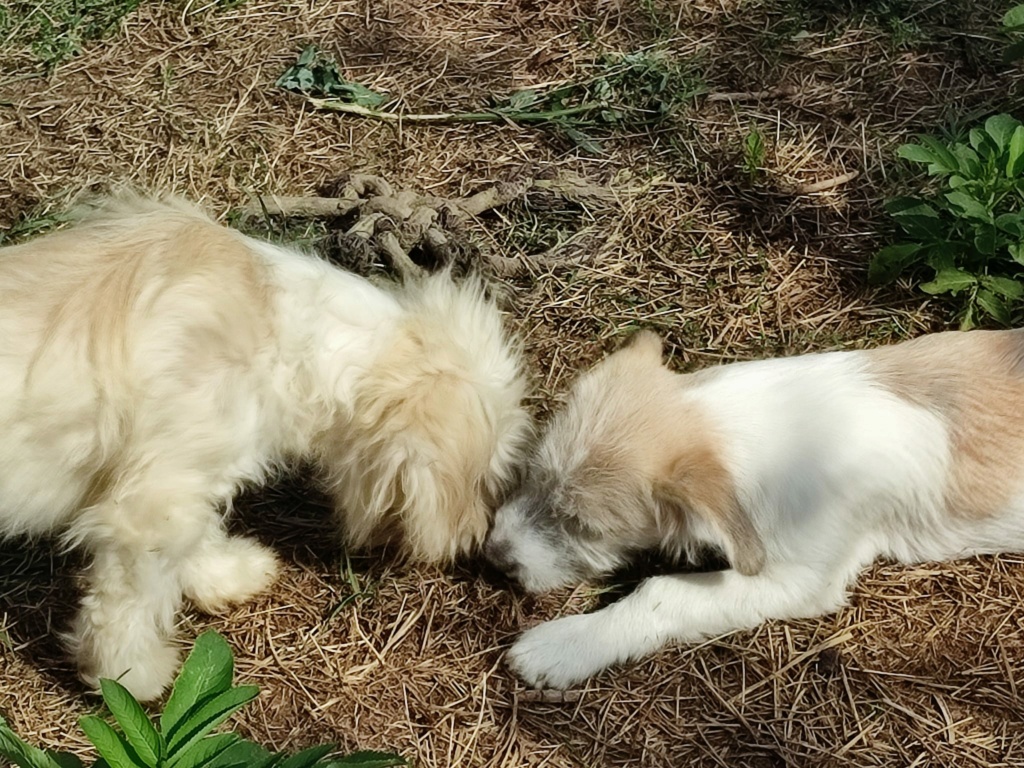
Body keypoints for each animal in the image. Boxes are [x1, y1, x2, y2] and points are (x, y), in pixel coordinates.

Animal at [0, 193, 528, 704]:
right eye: (484, 477)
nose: (477, 538)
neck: (281, 329)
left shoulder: (185, 486)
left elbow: (197, 542)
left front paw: (226, 576)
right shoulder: (149, 509)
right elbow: (126, 605)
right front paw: (129, 677)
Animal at [485, 331, 1024, 692]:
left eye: (583, 526)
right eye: (531, 474)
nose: (493, 557)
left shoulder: (803, 579)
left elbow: (662, 592)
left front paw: (562, 645)